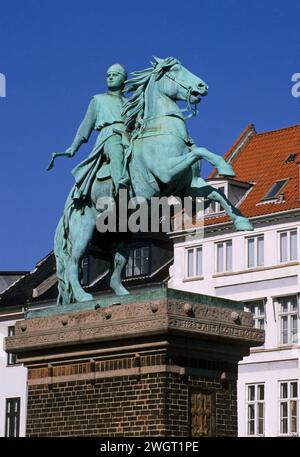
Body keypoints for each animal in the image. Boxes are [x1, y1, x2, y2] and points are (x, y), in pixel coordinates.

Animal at [54, 58, 253, 306]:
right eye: (175, 70)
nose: (202, 86)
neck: (161, 131)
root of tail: (68, 205)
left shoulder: (188, 185)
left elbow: (217, 193)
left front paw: (241, 221)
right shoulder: (168, 170)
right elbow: (201, 151)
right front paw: (225, 166)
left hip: (121, 235)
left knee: (114, 271)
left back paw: (124, 295)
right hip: (84, 229)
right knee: (73, 262)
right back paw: (83, 297)